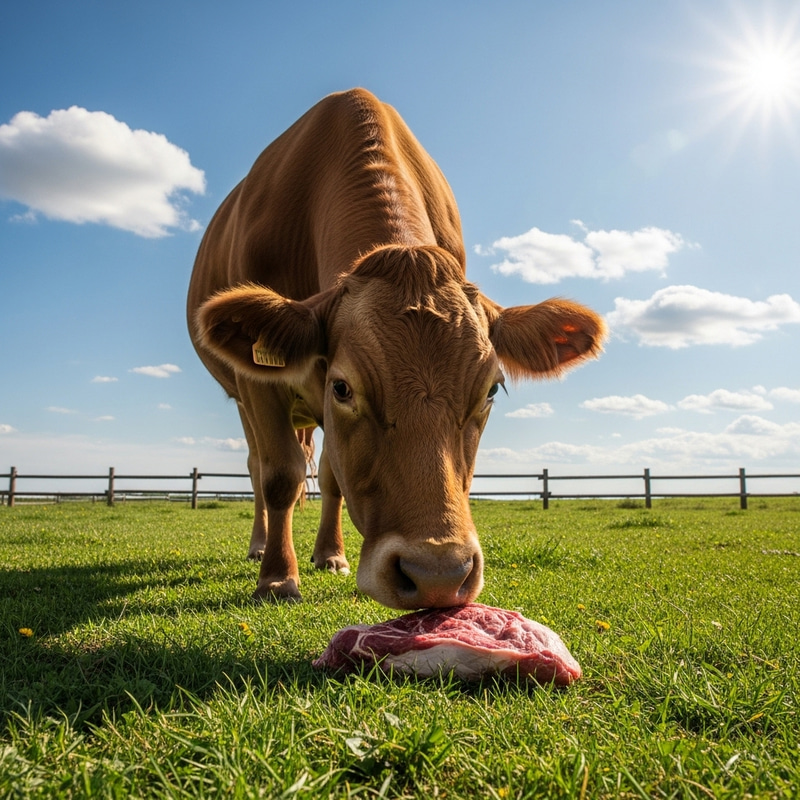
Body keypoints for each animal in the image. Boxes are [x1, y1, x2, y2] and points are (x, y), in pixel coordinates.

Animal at [187, 88, 605, 610]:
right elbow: (280, 474)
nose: (438, 574)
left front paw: (329, 557)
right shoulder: (261, 386)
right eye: (343, 387)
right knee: (257, 466)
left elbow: (331, 477)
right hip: (245, 399)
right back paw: (261, 546)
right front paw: (278, 580)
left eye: (491, 390)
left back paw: (328, 554)